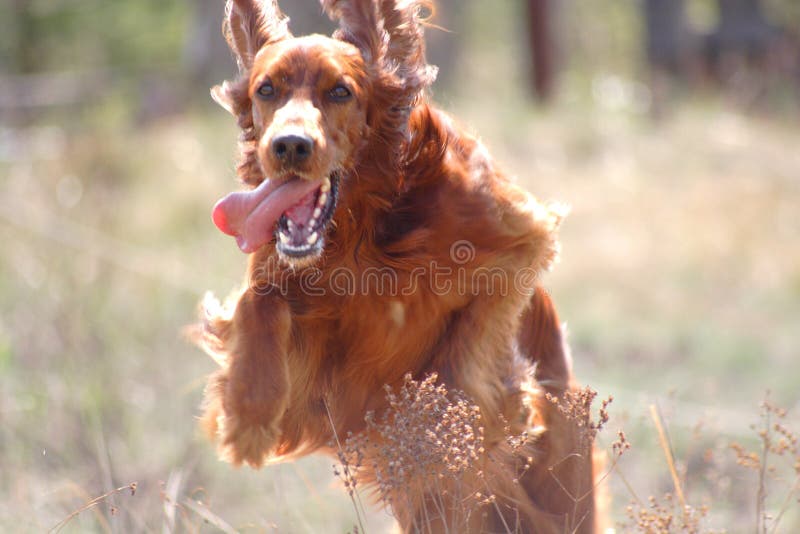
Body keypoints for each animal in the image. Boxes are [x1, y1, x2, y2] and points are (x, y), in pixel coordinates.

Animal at [197, 1, 596, 532]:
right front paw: (249, 411)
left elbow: (474, 338)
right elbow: (257, 301)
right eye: (266, 89)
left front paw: (458, 425)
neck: (365, 231)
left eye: (340, 91)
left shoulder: (522, 236)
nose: (290, 146)